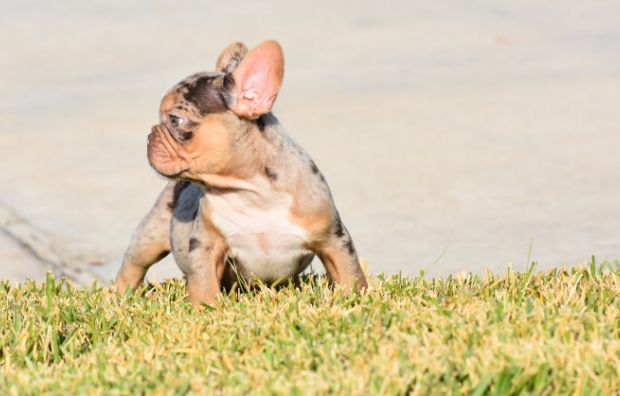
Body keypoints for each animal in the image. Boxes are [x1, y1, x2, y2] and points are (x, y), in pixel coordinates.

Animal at [115, 41, 366, 306]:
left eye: (175, 120)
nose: (149, 136)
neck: (251, 193)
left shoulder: (334, 241)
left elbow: (350, 275)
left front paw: (355, 300)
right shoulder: (207, 246)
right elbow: (204, 287)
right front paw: (206, 310)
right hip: (150, 234)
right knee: (132, 266)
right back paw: (123, 297)